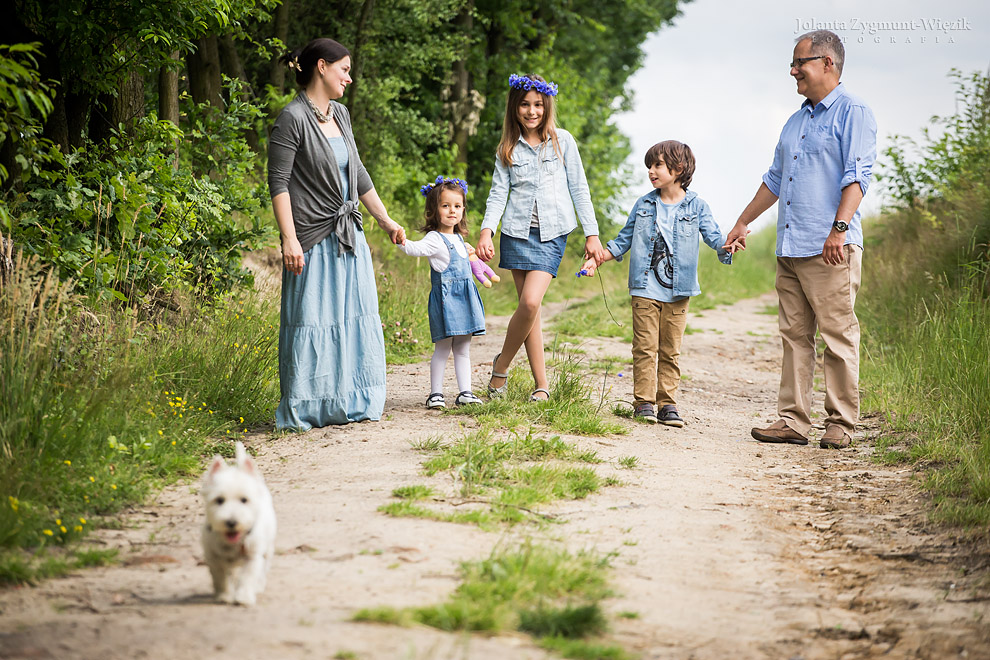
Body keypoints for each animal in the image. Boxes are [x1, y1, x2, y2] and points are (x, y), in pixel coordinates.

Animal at [200, 440, 276, 604]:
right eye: (219, 500)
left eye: (244, 500)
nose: (231, 522)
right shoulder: (213, 557)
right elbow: (220, 577)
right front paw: (224, 595)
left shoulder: (252, 556)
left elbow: (248, 577)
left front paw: (244, 598)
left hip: (267, 547)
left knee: (264, 566)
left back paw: (258, 586)